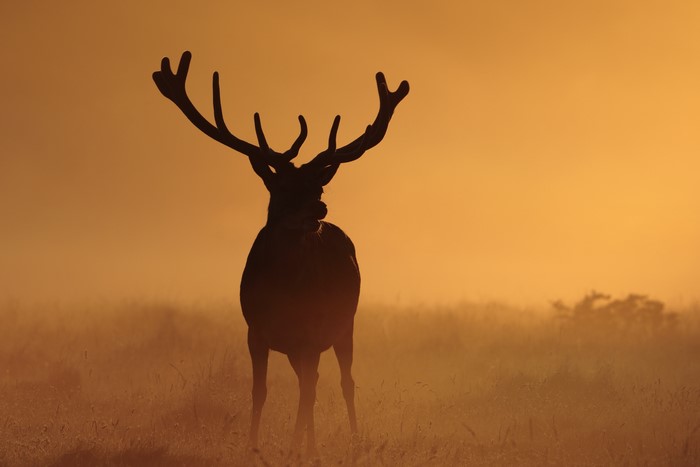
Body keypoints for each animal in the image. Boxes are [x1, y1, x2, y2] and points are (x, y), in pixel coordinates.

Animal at [152, 51, 409, 455]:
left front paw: (295, 448)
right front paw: (253, 446)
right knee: (312, 382)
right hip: (295, 346)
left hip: (344, 325)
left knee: (341, 382)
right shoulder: (256, 332)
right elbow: (259, 391)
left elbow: (308, 393)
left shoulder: (310, 333)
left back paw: (343, 441)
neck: (284, 290)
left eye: (319, 187)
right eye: (283, 186)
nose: (320, 209)